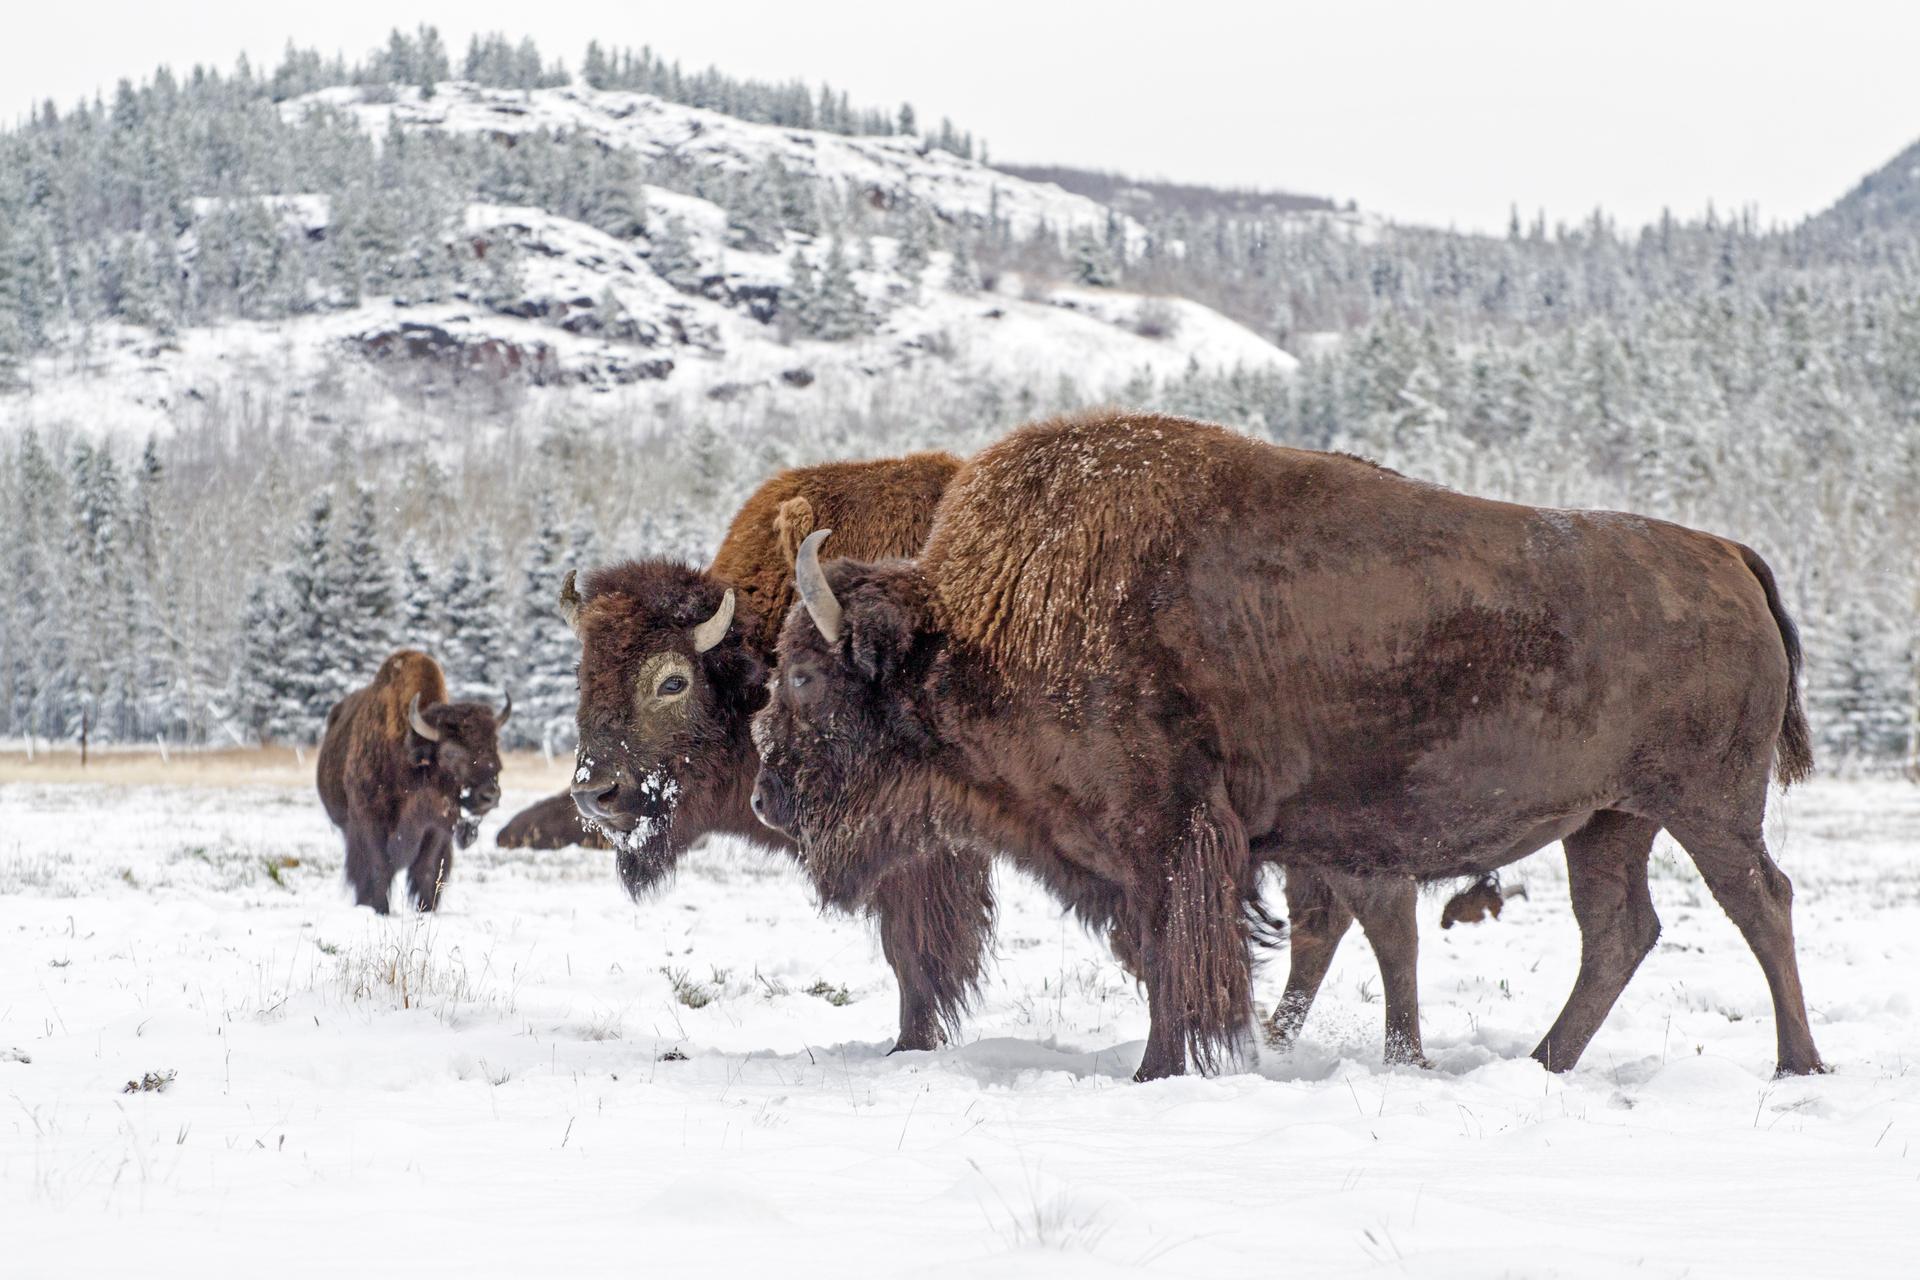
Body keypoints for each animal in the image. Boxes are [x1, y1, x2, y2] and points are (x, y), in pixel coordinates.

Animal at [316, 656, 510, 917]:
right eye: (449, 753)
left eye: (493, 746)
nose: (489, 796)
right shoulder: (368, 821)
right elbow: (377, 868)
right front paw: (378, 909)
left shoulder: (436, 830)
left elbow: (426, 871)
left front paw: (426, 910)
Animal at [748, 410, 1812, 1082]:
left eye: (802, 676)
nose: (767, 797)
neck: (984, 624)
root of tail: (1725, 554)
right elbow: (1173, 955)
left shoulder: (1167, 837)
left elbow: (1176, 956)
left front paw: (1159, 1071)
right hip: (1611, 820)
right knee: (1618, 932)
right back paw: (1544, 1063)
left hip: (1707, 806)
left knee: (1758, 902)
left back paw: (1796, 1062)